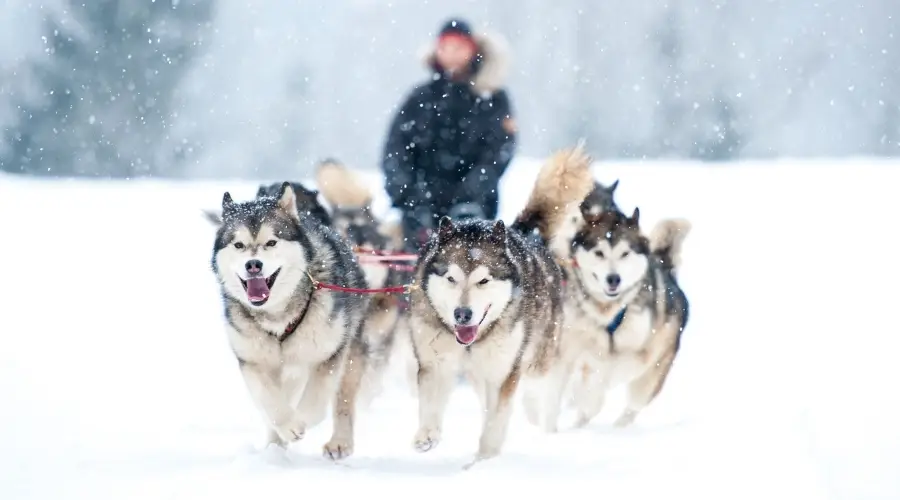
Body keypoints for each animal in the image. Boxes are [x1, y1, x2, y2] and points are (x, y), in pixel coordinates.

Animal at [213, 182, 370, 458]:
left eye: (271, 242)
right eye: (239, 245)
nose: (253, 265)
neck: (277, 316)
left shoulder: (329, 355)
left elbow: (316, 402)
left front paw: (301, 420)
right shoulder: (252, 361)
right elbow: (269, 400)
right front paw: (286, 427)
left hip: (351, 351)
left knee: (343, 399)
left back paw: (339, 442)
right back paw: (275, 446)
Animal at [410, 145, 596, 464]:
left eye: (483, 281)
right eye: (451, 278)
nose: (462, 314)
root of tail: (518, 233)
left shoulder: (504, 372)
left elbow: (497, 419)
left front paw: (485, 457)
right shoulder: (435, 362)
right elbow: (432, 401)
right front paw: (427, 435)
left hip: (536, 359)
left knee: (538, 389)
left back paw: (540, 421)